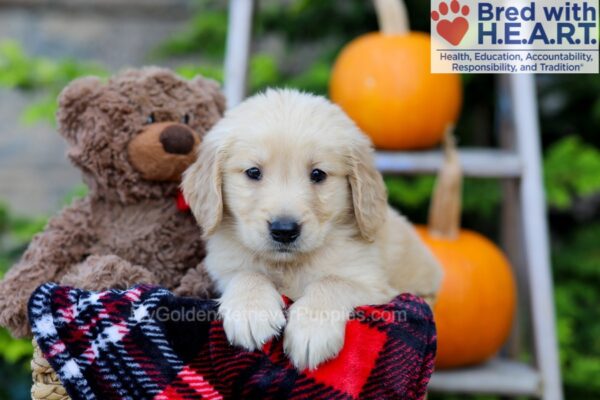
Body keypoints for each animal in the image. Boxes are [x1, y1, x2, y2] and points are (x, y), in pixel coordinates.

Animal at [182, 89, 440, 370]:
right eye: (253, 172)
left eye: (318, 174)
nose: (284, 230)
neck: (289, 265)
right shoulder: (224, 269)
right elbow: (248, 273)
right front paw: (250, 311)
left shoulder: (375, 285)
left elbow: (332, 281)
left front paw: (311, 329)